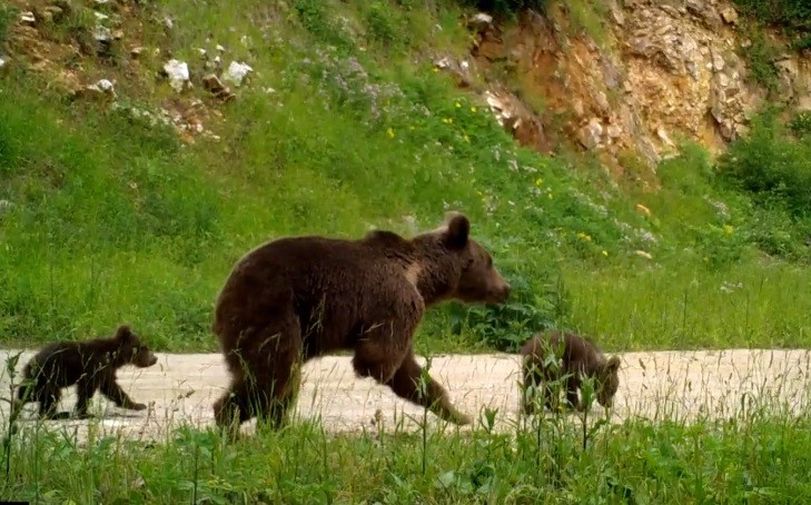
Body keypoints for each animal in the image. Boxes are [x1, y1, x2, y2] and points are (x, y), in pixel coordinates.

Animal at [213, 212, 510, 430]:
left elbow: (410, 373)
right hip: (273, 310)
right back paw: (238, 421)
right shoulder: (397, 304)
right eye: (489, 260)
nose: (506, 288)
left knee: (277, 381)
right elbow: (378, 360)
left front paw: (459, 414)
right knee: (273, 374)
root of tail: (223, 294)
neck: (421, 276)